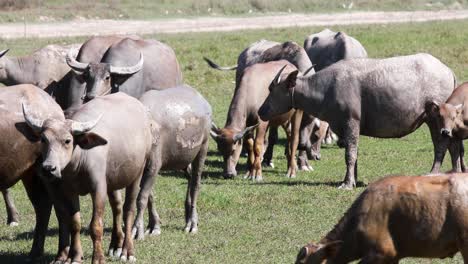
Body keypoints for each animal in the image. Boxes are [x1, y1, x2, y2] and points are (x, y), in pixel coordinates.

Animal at [22, 92, 154, 262]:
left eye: (67, 140)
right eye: (44, 139)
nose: (48, 168)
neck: (79, 161)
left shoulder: (98, 188)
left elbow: (96, 225)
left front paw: (98, 258)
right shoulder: (70, 190)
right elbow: (75, 223)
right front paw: (75, 257)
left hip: (137, 173)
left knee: (128, 210)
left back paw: (127, 251)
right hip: (113, 180)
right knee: (117, 207)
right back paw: (115, 245)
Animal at [133, 84, 211, 239]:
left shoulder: (153, 166)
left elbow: (142, 198)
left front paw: (137, 229)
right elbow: (150, 196)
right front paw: (153, 226)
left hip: (202, 149)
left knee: (196, 184)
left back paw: (192, 224)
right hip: (184, 158)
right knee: (190, 177)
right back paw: (188, 218)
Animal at [258, 53, 456, 189]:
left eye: (273, 90)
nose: (261, 111)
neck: (326, 89)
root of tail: (448, 70)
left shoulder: (350, 122)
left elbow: (350, 154)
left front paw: (347, 183)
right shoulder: (346, 128)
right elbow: (354, 153)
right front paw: (353, 179)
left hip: (436, 117)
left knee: (441, 144)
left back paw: (433, 174)